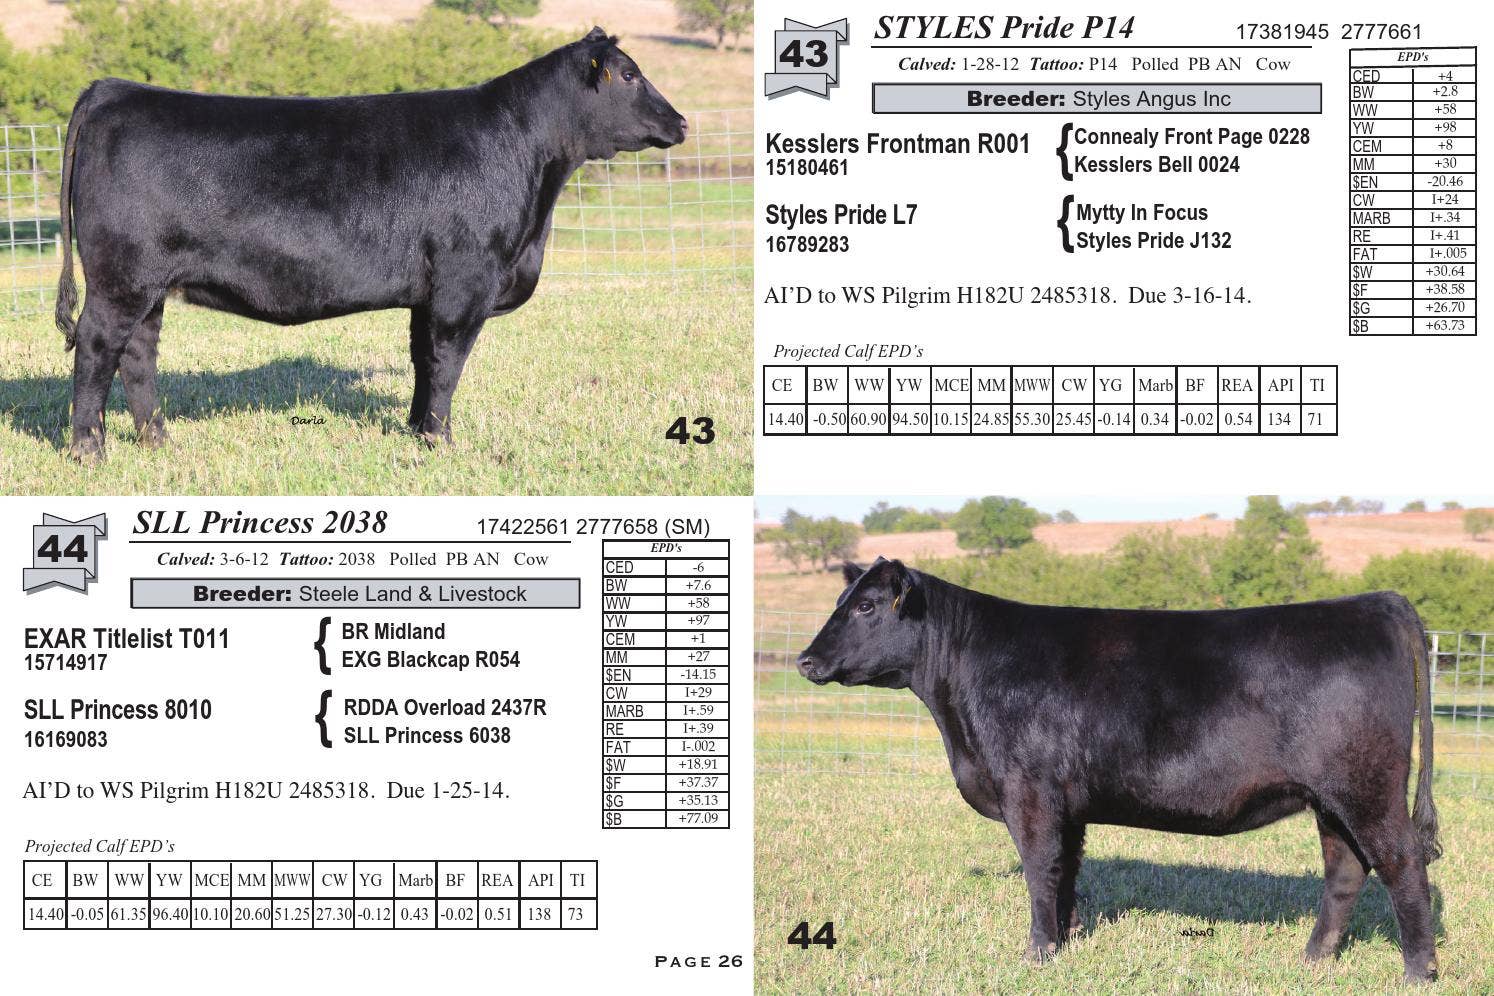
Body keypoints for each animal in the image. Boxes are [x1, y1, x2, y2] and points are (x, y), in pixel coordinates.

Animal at [53, 27, 686, 460]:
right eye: (630, 76)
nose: (680, 122)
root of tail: (114, 90)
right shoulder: (465, 282)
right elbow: (448, 362)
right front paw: (440, 442)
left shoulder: (428, 293)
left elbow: (423, 361)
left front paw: (417, 430)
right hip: (121, 277)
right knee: (97, 345)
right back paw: (89, 448)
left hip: (149, 284)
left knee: (138, 352)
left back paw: (158, 440)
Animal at [796, 558, 1443, 983]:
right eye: (840, 601)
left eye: (866, 606)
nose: (805, 660)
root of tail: (1376, 602)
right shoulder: (1068, 804)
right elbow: (1066, 873)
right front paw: (1066, 941)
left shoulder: (1028, 791)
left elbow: (1039, 870)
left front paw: (1036, 956)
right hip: (1331, 799)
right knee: (1346, 870)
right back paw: (1313, 961)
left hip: (1367, 788)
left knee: (1403, 865)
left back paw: (1417, 972)